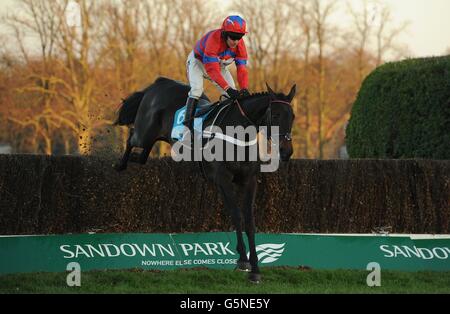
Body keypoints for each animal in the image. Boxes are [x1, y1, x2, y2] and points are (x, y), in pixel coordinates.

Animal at [113, 76, 296, 282]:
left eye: (292, 117)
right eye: (276, 116)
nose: (287, 152)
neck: (238, 133)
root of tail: (158, 84)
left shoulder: (248, 180)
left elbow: (250, 221)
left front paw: (255, 269)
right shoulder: (222, 179)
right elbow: (237, 215)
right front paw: (242, 260)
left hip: (152, 138)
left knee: (142, 156)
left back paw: (135, 158)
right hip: (144, 133)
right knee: (131, 137)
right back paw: (120, 164)